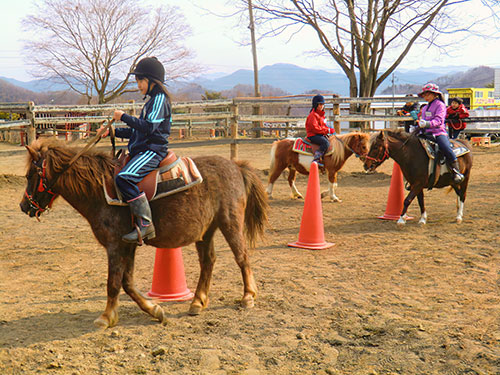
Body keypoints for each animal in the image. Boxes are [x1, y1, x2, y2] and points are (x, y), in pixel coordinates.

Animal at [19, 138, 268, 328]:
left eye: (30, 175)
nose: (24, 206)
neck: (99, 190)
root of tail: (236, 166)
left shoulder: (115, 245)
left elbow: (113, 283)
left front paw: (106, 317)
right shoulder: (128, 244)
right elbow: (127, 283)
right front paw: (155, 310)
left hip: (230, 223)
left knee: (242, 257)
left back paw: (248, 296)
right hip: (206, 231)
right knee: (208, 261)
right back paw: (197, 302)